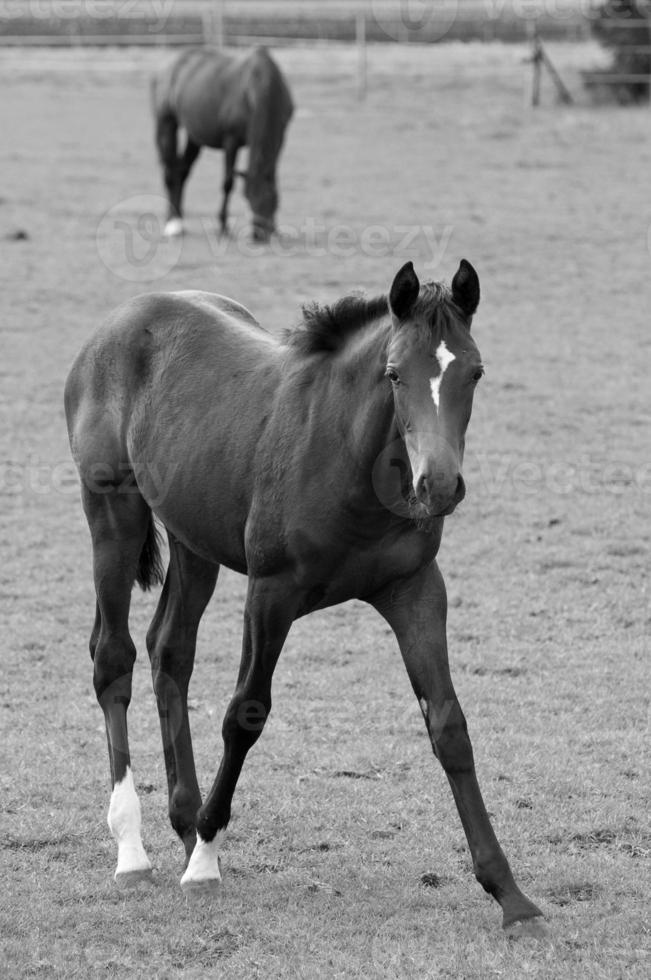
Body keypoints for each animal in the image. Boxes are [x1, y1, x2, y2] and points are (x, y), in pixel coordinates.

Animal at [65, 260, 544, 936]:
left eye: (473, 372)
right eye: (394, 374)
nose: (439, 485)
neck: (352, 462)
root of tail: (122, 318)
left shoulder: (417, 591)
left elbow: (449, 725)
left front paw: (510, 895)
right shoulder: (272, 593)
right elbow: (246, 712)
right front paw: (205, 864)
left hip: (194, 541)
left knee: (170, 653)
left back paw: (185, 824)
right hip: (113, 513)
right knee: (114, 657)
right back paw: (135, 849)